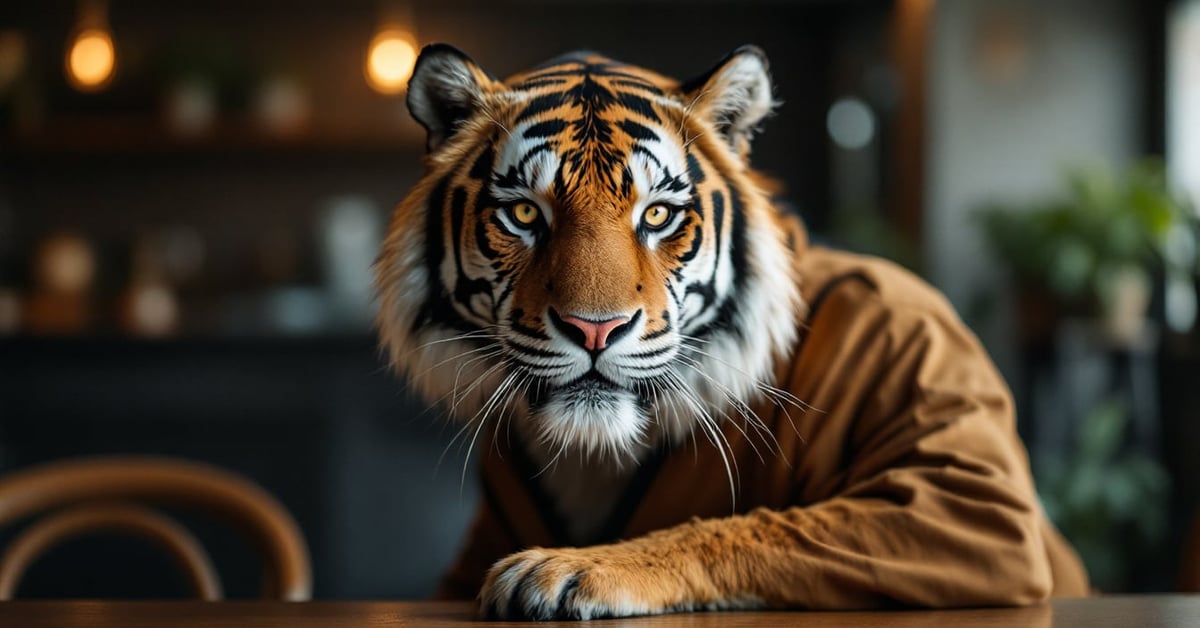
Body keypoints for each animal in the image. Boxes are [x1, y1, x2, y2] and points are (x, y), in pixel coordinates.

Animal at [374, 44, 1090, 620]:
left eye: (657, 215)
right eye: (524, 214)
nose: (595, 330)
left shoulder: (966, 498)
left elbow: (757, 526)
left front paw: (572, 567)